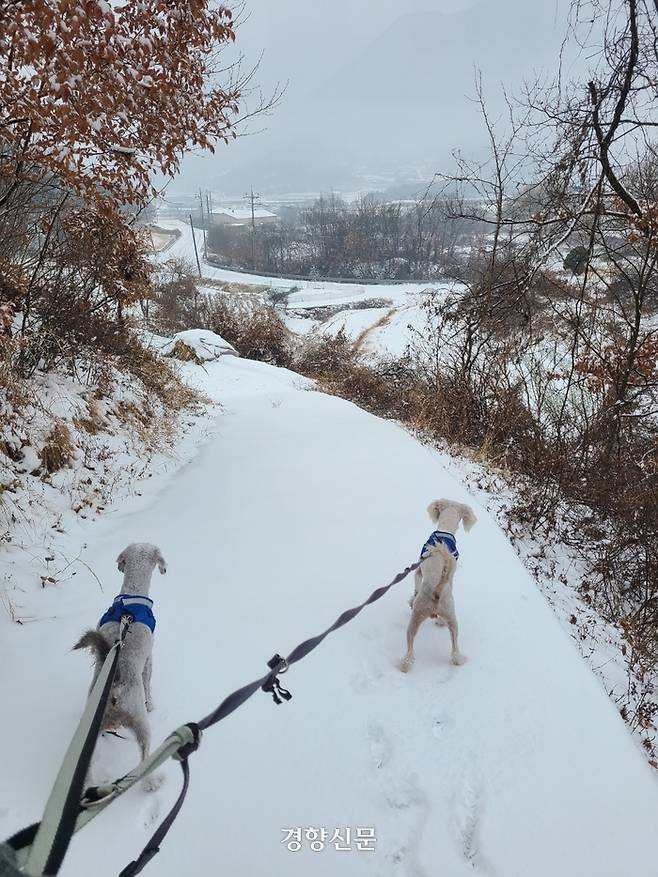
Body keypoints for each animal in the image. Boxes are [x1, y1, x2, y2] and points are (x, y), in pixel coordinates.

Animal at [73, 536, 167, 784]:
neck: (131, 598)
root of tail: (114, 691)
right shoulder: (149, 658)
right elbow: (148, 682)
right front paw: (152, 703)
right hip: (141, 724)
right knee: (144, 758)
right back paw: (152, 782)